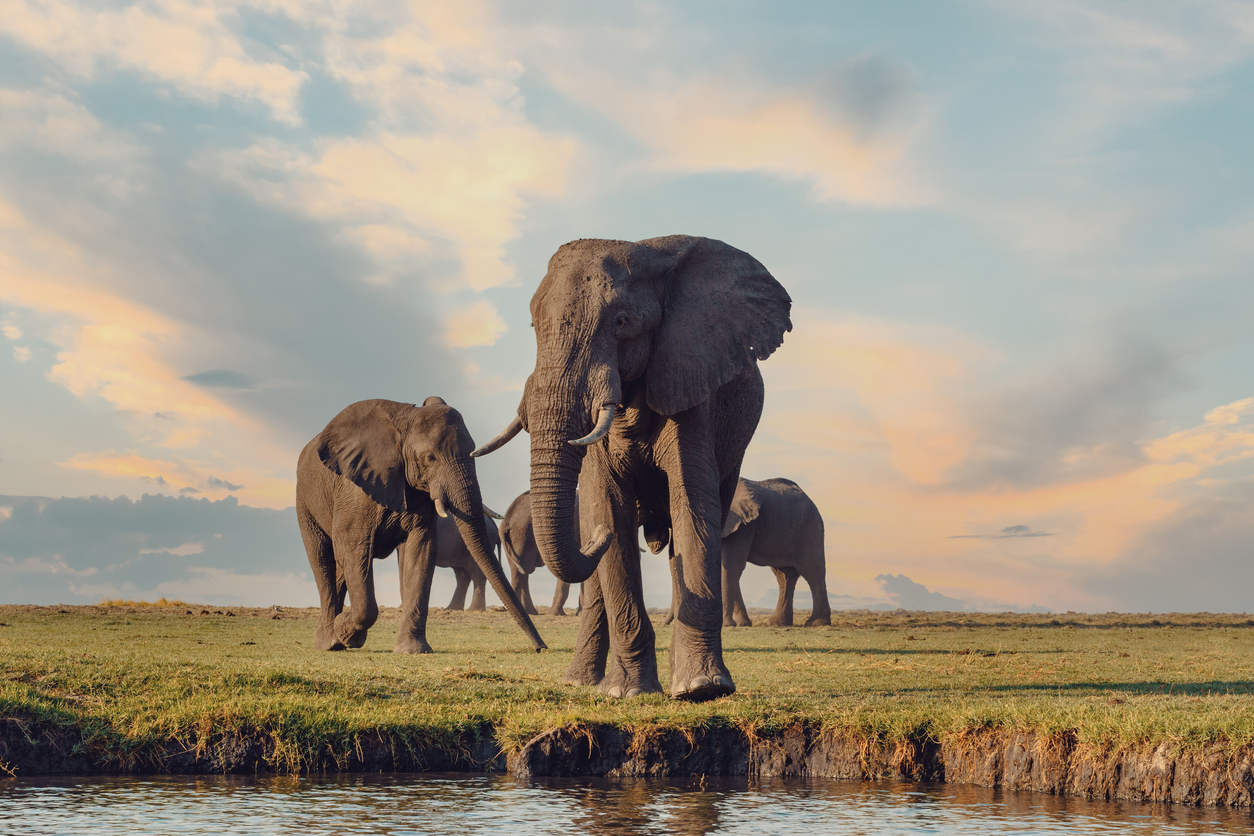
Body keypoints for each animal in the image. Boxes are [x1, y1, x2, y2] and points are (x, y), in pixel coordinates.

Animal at [298, 396, 549, 656]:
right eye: (430, 458)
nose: (541, 647)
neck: (405, 422)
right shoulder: (355, 490)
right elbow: (354, 547)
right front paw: (346, 632)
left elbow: (421, 550)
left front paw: (412, 650)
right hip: (305, 501)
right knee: (323, 560)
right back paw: (329, 642)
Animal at [474, 234, 787, 701]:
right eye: (533, 326)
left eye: (622, 322)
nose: (596, 537)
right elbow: (610, 513)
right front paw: (628, 692)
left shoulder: (689, 381)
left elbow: (693, 508)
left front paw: (702, 688)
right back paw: (583, 681)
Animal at [667, 476, 832, 626]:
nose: (667, 624)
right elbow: (728, 568)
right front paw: (742, 624)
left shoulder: (742, 526)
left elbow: (731, 566)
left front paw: (726, 625)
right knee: (784, 577)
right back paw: (777, 623)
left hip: (810, 530)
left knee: (812, 572)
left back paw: (816, 623)